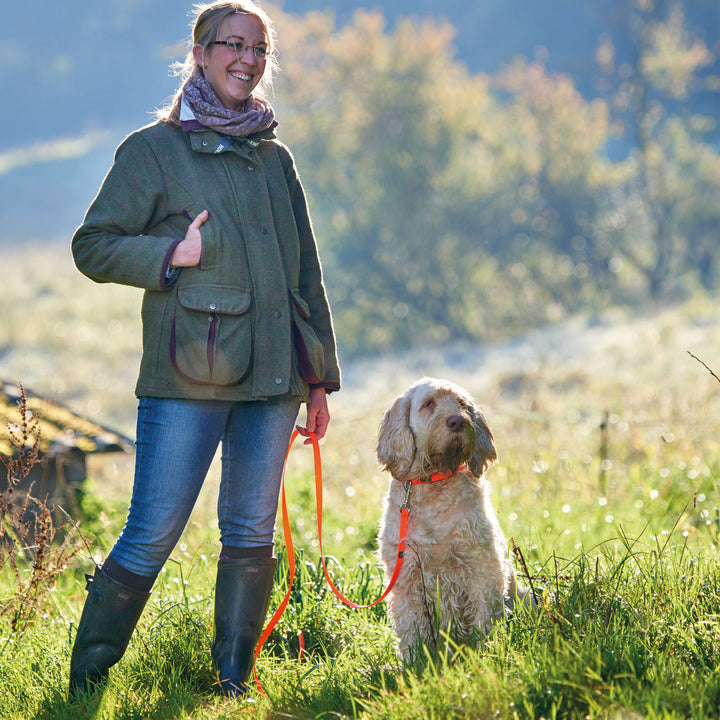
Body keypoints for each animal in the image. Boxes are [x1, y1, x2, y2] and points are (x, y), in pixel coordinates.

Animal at [374, 380, 532, 660]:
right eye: (428, 404)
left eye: (461, 403)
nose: (457, 421)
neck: (435, 482)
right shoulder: (407, 579)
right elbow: (411, 628)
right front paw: (414, 663)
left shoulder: (482, 568)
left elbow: (484, 616)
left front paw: (486, 651)